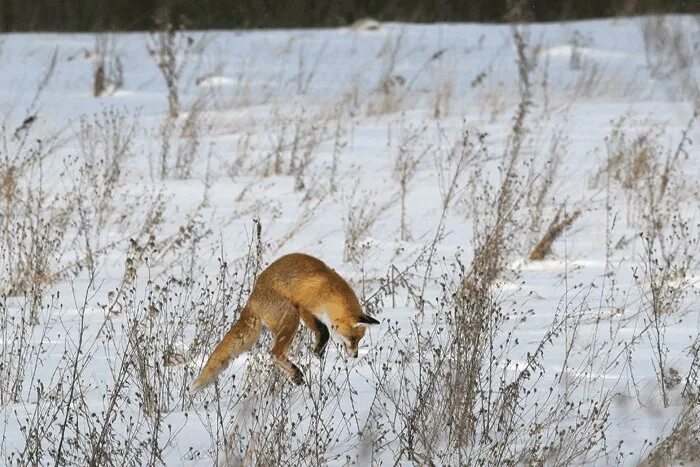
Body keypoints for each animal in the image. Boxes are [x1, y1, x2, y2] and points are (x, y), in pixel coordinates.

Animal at [189, 252, 380, 392]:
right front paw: (318, 350)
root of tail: (252, 298)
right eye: (353, 338)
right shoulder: (304, 307)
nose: (355, 355)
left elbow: (323, 331)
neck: (331, 293)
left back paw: (294, 375)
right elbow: (324, 331)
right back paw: (295, 372)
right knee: (275, 352)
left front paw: (319, 350)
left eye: (359, 340)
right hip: (291, 317)